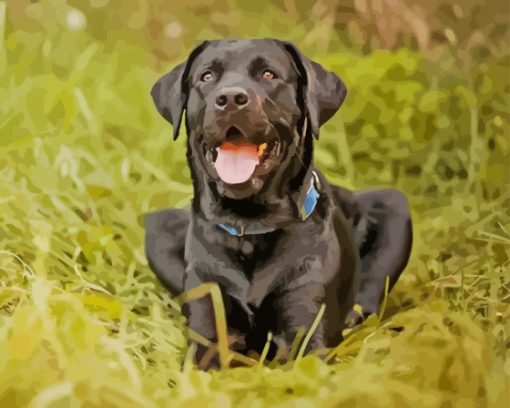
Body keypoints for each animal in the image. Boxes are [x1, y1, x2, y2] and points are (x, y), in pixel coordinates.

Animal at [143, 38, 410, 364]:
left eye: (268, 74)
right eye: (207, 76)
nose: (230, 98)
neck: (250, 224)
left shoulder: (306, 330)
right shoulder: (208, 326)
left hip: (395, 207)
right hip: (158, 227)